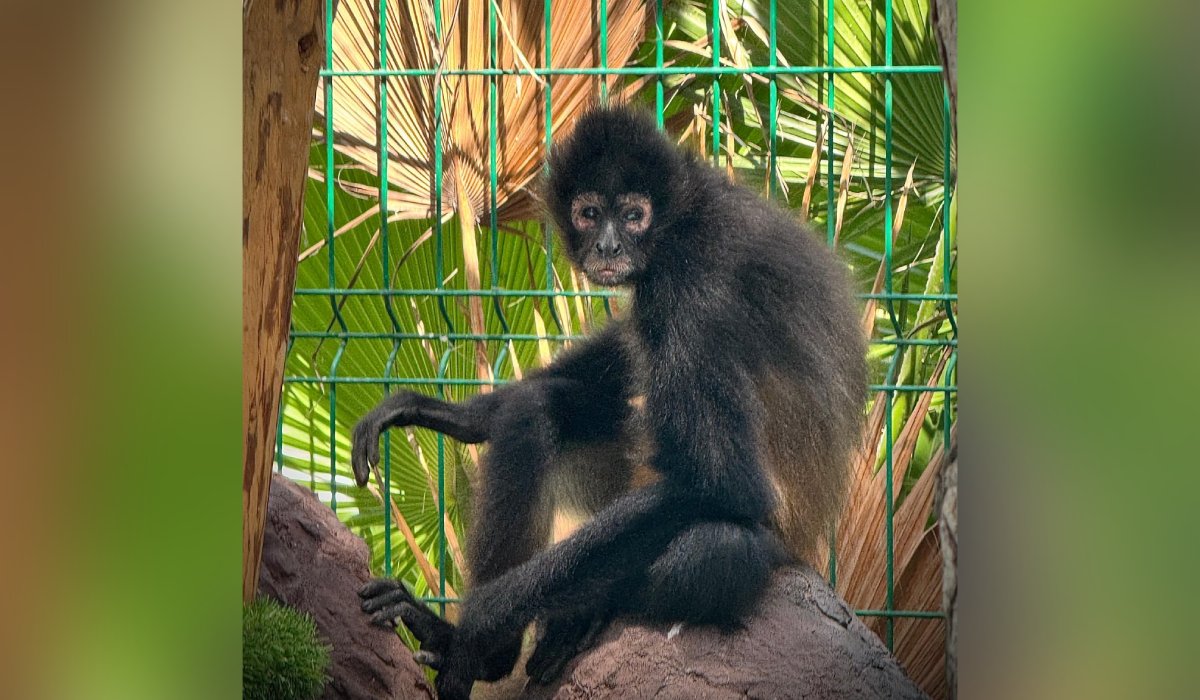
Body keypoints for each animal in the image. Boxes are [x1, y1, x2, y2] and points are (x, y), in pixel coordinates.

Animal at [351, 105, 868, 700]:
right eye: (590, 213)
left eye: (634, 216)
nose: (607, 248)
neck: (685, 215)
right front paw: (459, 415)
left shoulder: (692, 282)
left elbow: (725, 484)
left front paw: (476, 625)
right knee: (538, 409)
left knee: (717, 550)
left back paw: (515, 642)